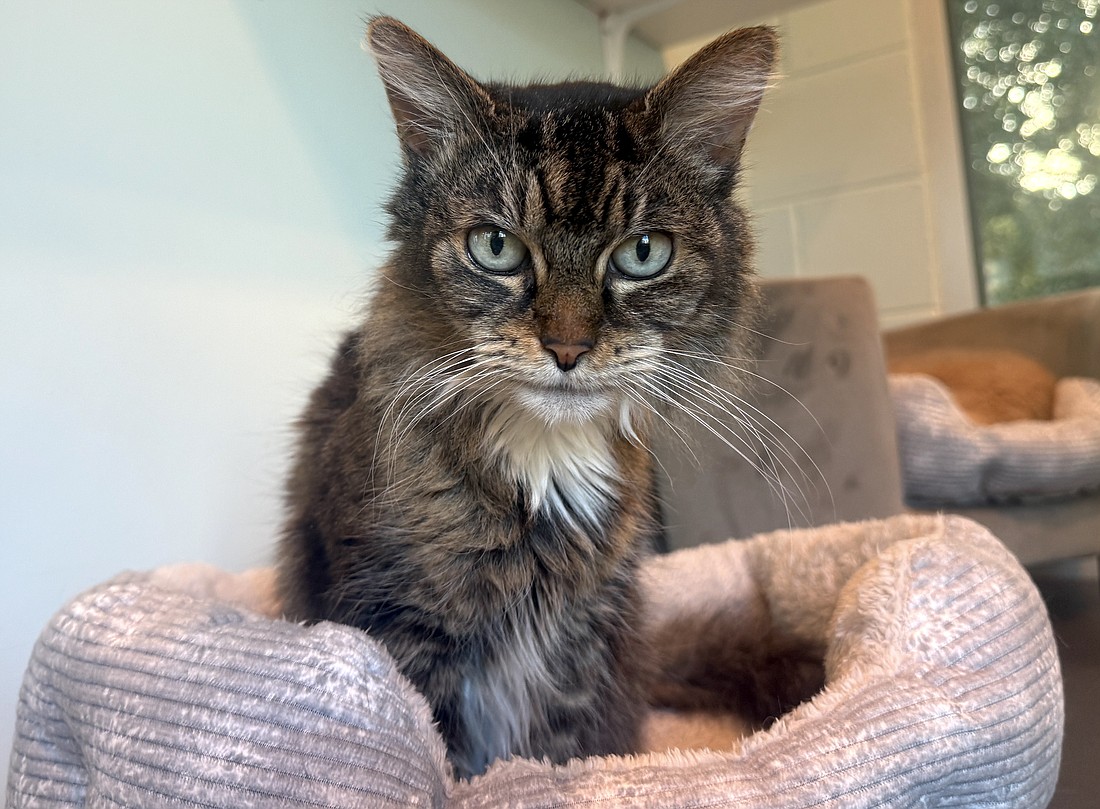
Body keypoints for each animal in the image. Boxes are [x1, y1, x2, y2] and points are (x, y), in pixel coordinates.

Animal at [276, 16, 794, 779]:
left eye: (643, 253)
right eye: (496, 247)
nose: (568, 348)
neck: (545, 460)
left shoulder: (581, 641)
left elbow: (559, 753)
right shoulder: (399, 624)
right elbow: (447, 760)